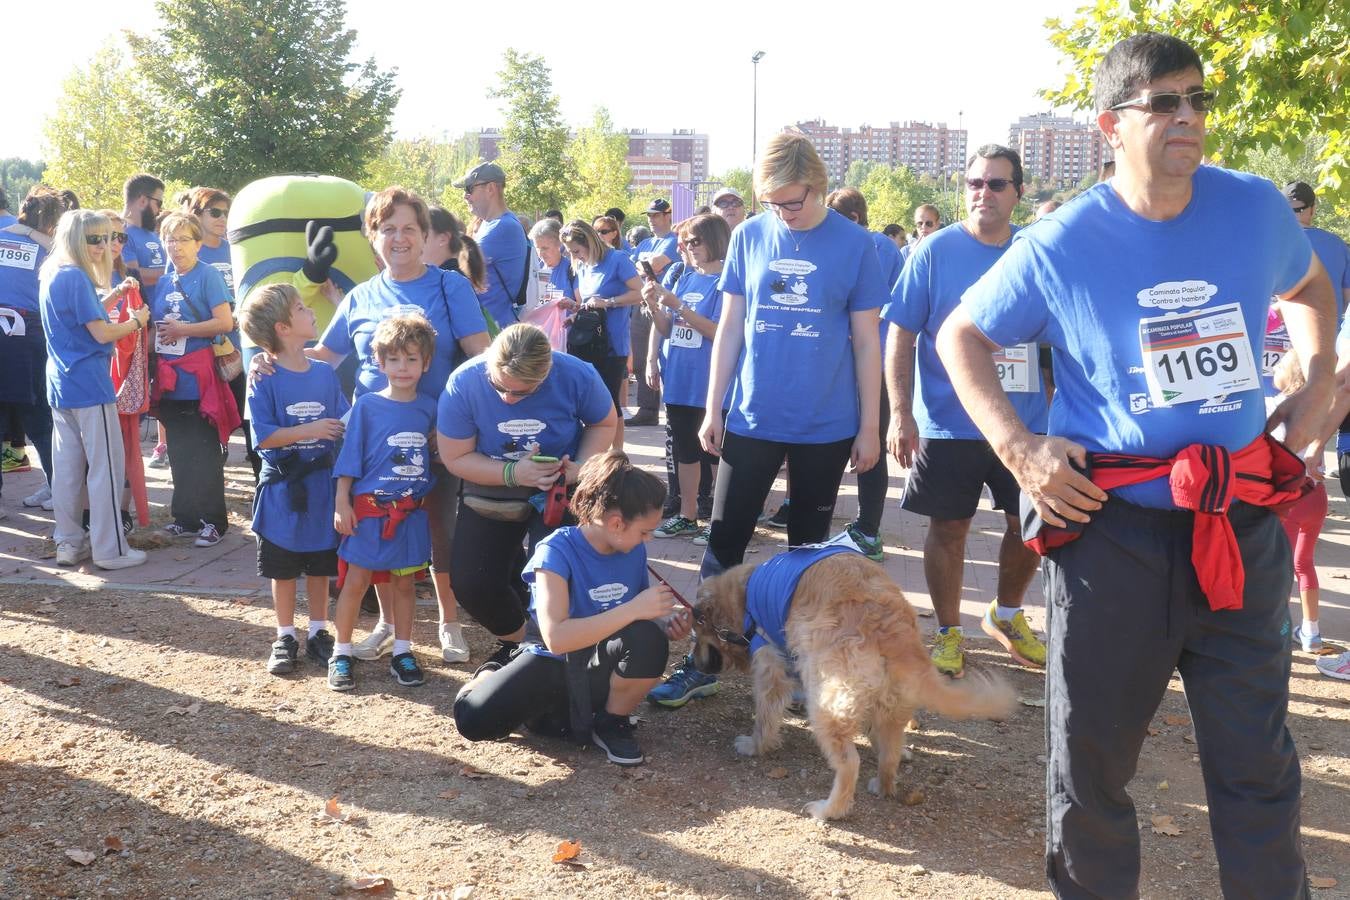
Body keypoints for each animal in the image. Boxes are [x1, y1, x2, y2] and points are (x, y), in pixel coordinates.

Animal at [696, 553, 1015, 820]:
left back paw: (829, 809)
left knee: (850, 763)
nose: (694, 663)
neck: (742, 595)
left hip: (825, 702)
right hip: (890, 704)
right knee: (889, 752)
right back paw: (883, 783)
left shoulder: (768, 662)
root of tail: (895, 630)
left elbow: (764, 716)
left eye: (696, 635)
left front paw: (754, 745)